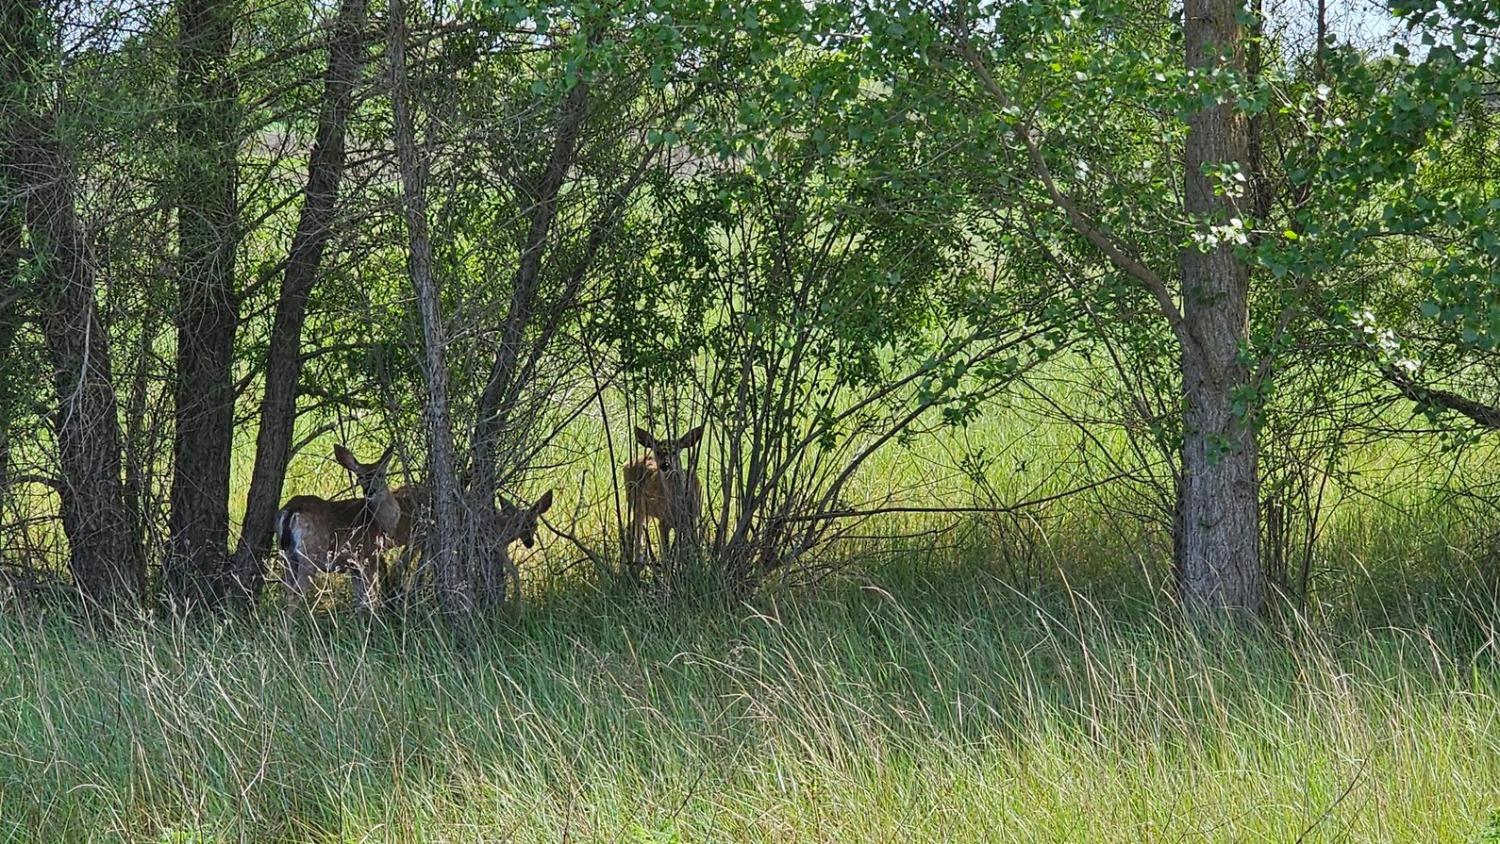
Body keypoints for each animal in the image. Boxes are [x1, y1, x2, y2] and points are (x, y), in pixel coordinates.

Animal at [276, 443, 405, 608]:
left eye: (380, 474)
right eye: (360, 476)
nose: (370, 490)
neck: (379, 521)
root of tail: (292, 509)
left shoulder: (354, 565)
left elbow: (361, 599)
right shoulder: (368, 555)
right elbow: (372, 597)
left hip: (285, 553)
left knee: (287, 590)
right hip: (310, 552)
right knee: (295, 594)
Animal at [621, 425, 702, 572]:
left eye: (674, 452)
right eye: (657, 452)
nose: (665, 465)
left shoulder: (692, 518)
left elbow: (690, 548)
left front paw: (692, 566)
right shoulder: (664, 520)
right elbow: (666, 552)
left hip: (645, 509)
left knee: (634, 525)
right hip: (634, 501)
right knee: (634, 527)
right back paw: (636, 562)